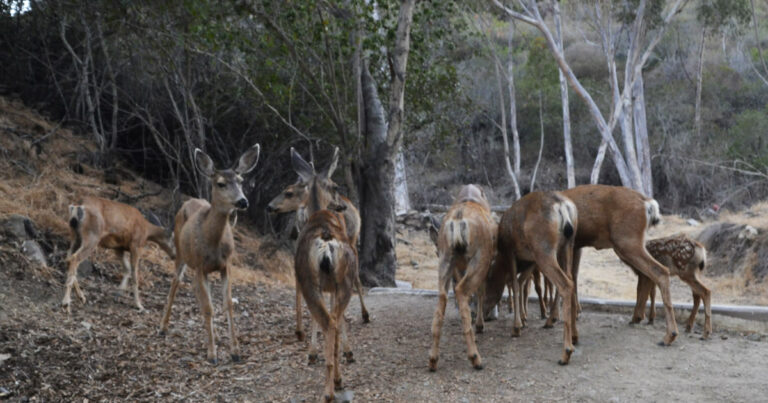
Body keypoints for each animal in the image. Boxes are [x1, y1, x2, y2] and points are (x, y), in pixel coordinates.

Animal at [158, 144, 260, 364]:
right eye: (221, 183)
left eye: (241, 181)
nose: (243, 201)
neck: (212, 243)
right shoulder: (200, 266)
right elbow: (208, 308)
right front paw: (212, 355)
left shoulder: (226, 265)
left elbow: (227, 304)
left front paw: (235, 352)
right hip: (181, 253)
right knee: (176, 282)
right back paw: (162, 327)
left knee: (195, 289)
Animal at [291, 147, 359, 401]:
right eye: (336, 186)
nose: (342, 206)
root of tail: (326, 241)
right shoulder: (333, 287)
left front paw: (312, 354)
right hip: (343, 281)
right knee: (335, 320)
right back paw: (336, 379)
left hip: (309, 281)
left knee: (329, 321)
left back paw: (330, 388)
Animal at [428, 184, 497, 372]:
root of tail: (458, 220)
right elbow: (481, 291)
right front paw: (480, 324)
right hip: (480, 257)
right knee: (462, 291)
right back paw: (475, 357)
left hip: (446, 258)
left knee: (442, 297)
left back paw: (433, 359)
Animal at [481, 191, 578, 365]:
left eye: (486, 285)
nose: (483, 315)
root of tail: (563, 206)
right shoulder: (531, 260)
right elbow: (521, 283)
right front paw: (523, 320)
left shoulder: (510, 250)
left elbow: (514, 282)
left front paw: (516, 327)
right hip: (568, 245)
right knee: (571, 279)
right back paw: (567, 331)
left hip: (544, 249)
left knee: (565, 283)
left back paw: (566, 352)